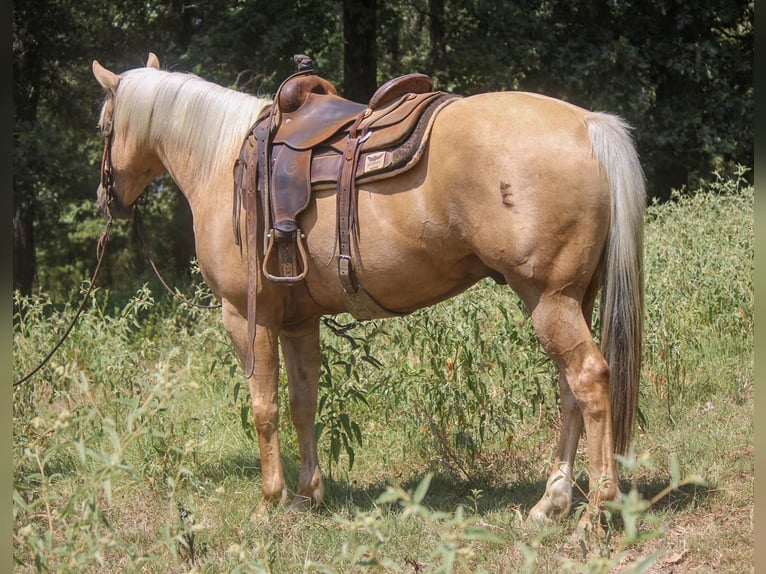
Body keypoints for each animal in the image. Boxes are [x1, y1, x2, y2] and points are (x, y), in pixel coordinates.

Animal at [93, 54, 644, 528]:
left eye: (102, 126)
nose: (106, 197)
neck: (222, 159)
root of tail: (587, 123)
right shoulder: (298, 320)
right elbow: (303, 403)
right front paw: (306, 496)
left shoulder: (248, 317)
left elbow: (264, 409)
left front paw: (269, 502)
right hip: (573, 299)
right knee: (570, 392)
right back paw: (551, 504)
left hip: (549, 300)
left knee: (590, 379)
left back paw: (596, 511)